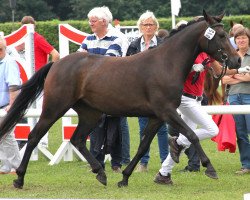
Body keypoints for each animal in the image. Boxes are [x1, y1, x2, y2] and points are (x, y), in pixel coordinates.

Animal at [0, 10, 240, 189]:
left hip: (90, 113)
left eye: (227, 34)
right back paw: (19, 178)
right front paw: (210, 168)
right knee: (34, 136)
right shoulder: (167, 112)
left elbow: (143, 147)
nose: (237, 60)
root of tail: (57, 63)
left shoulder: (157, 117)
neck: (166, 63)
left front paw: (124, 177)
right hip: (54, 108)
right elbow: (192, 135)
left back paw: (100, 173)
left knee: (78, 139)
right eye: (220, 36)